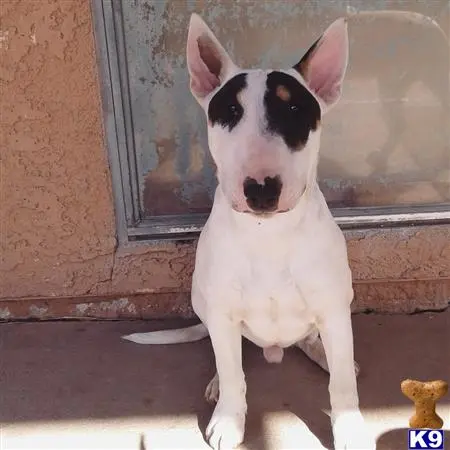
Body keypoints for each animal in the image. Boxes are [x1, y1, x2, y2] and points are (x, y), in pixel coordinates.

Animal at [124, 14, 376, 450]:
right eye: (229, 111)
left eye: (293, 108)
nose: (260, 189)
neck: (268, 235)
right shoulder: (223, 310)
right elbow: (232, 373)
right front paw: (228, 419)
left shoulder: (332, 306)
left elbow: (343, 385)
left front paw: (350, 428)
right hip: (203, 300)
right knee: (225, 352)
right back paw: (215, 382)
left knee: (318, 343)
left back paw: (322, 353)